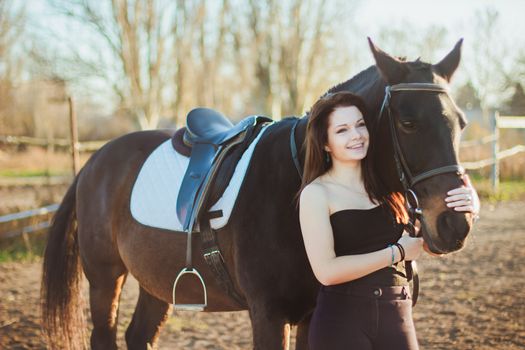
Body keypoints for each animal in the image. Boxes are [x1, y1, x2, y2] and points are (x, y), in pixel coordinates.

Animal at [42, 39, 474, 348]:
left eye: (461, 123)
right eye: (407, 122)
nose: (456, 223)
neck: (297, 185)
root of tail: (94, 162)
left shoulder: (312, 313)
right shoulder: (268, 315)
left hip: (158, 282)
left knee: (138, 336)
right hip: (105, 279)